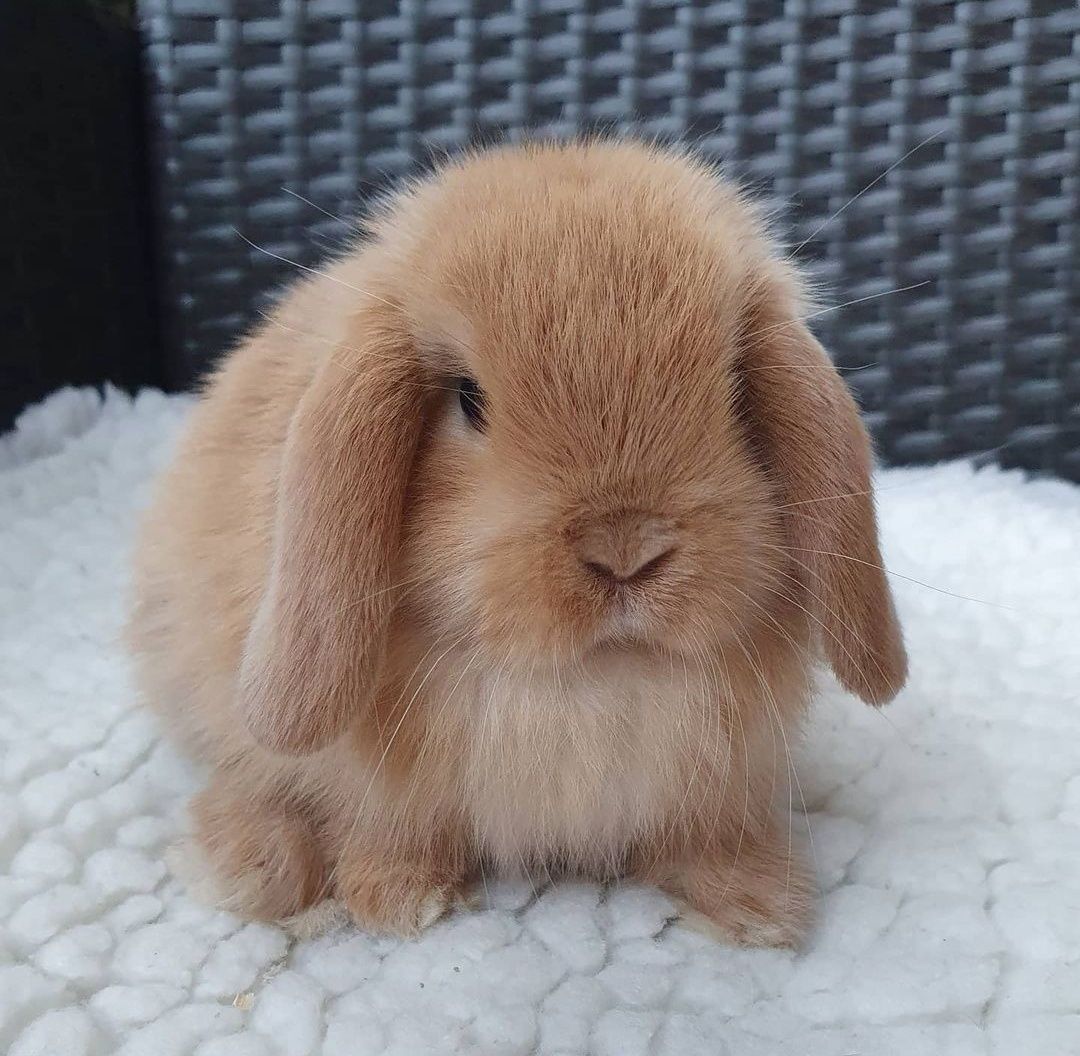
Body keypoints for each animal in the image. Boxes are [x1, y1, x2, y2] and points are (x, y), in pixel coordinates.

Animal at [124, 137, 902, 937]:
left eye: (733, 389)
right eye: (469, 400)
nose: (626, 551)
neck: (586, 686)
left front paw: (759, 905)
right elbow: (381, 827)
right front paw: (398, 899)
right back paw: (249, 865)